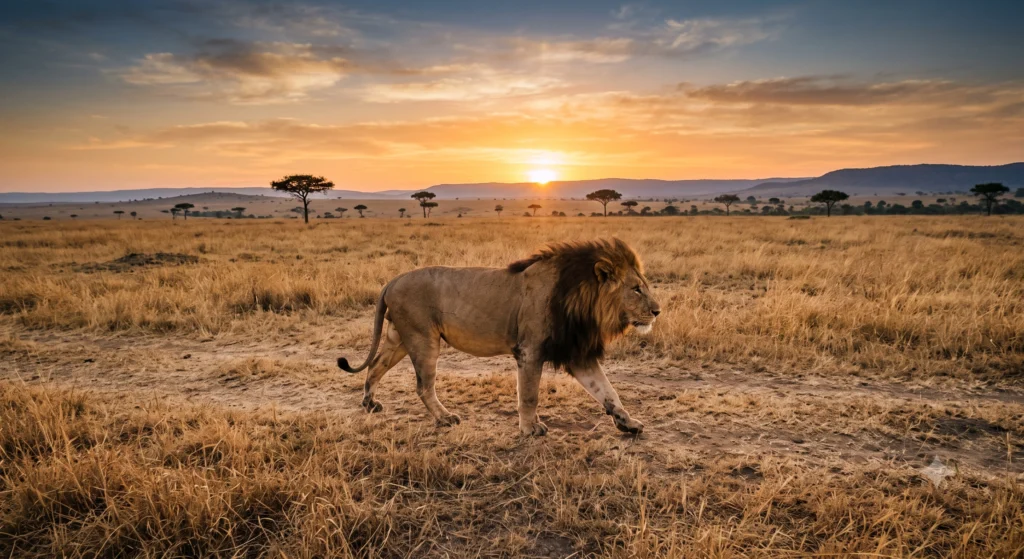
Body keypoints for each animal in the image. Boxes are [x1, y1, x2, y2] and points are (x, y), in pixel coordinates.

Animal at [337, 238, 661, 436]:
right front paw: (530, 429)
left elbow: (608, 391)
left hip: (400, 339)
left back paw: (369, 403)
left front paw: (629, 423)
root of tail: (392, 281)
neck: (582, 300)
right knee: (422, 386)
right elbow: (529, 394)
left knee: (375, 366)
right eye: (636, 289)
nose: (657, 311)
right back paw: (444, 418)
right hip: (422, 340)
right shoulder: (530, 350)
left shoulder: (577, 353)